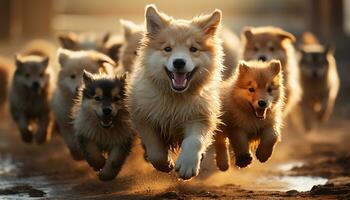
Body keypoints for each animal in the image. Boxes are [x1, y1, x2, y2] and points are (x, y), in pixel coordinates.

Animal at [127, 5, 223, 180]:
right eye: (167, 49)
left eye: (193, 49)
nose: (179, 62)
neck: (175, 99)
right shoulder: (144, 117)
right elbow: (155, 150)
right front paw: (165, 164)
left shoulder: (201, 117)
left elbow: (194, 141)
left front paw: (188, 164)